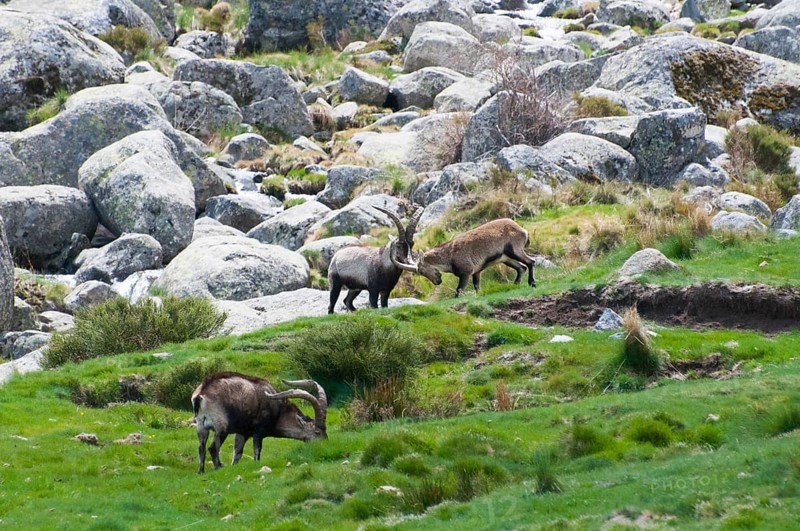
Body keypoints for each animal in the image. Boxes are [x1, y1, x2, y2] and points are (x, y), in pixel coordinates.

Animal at [191, 372, 327, 473]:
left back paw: (201, 471)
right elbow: (257, 450)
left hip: (201, 425)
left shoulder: (242, 433)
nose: (325, 444)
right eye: (317, 432)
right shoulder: (258, 431)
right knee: (213, 448)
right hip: (221, 427)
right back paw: (218, 467)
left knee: (201, 448)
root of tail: (201, 394)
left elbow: (237, 453)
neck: (278, 410)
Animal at [390, 218, 537, 297]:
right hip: (506, 258)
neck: (449, 256)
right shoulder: (476, 271)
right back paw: (516, 284)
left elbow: (458, 291)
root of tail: (522, 230)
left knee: (531, 262)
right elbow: (477, 286)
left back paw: (532, 283)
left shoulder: (466, 273)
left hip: (515, 250)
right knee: (521, 268)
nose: (437, 282)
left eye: (420, 270)